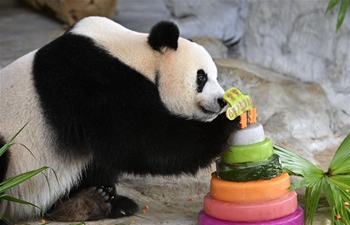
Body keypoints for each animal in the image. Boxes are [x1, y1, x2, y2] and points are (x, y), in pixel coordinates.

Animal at [0, 16, 239, 222]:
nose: (221, 101)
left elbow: (103, 154)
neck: (135, 55)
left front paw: (113, 201)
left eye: (215, 76)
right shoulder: (98, 81)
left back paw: (93, 201)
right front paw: (226, 124)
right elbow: (142, 140)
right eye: (201, 76)